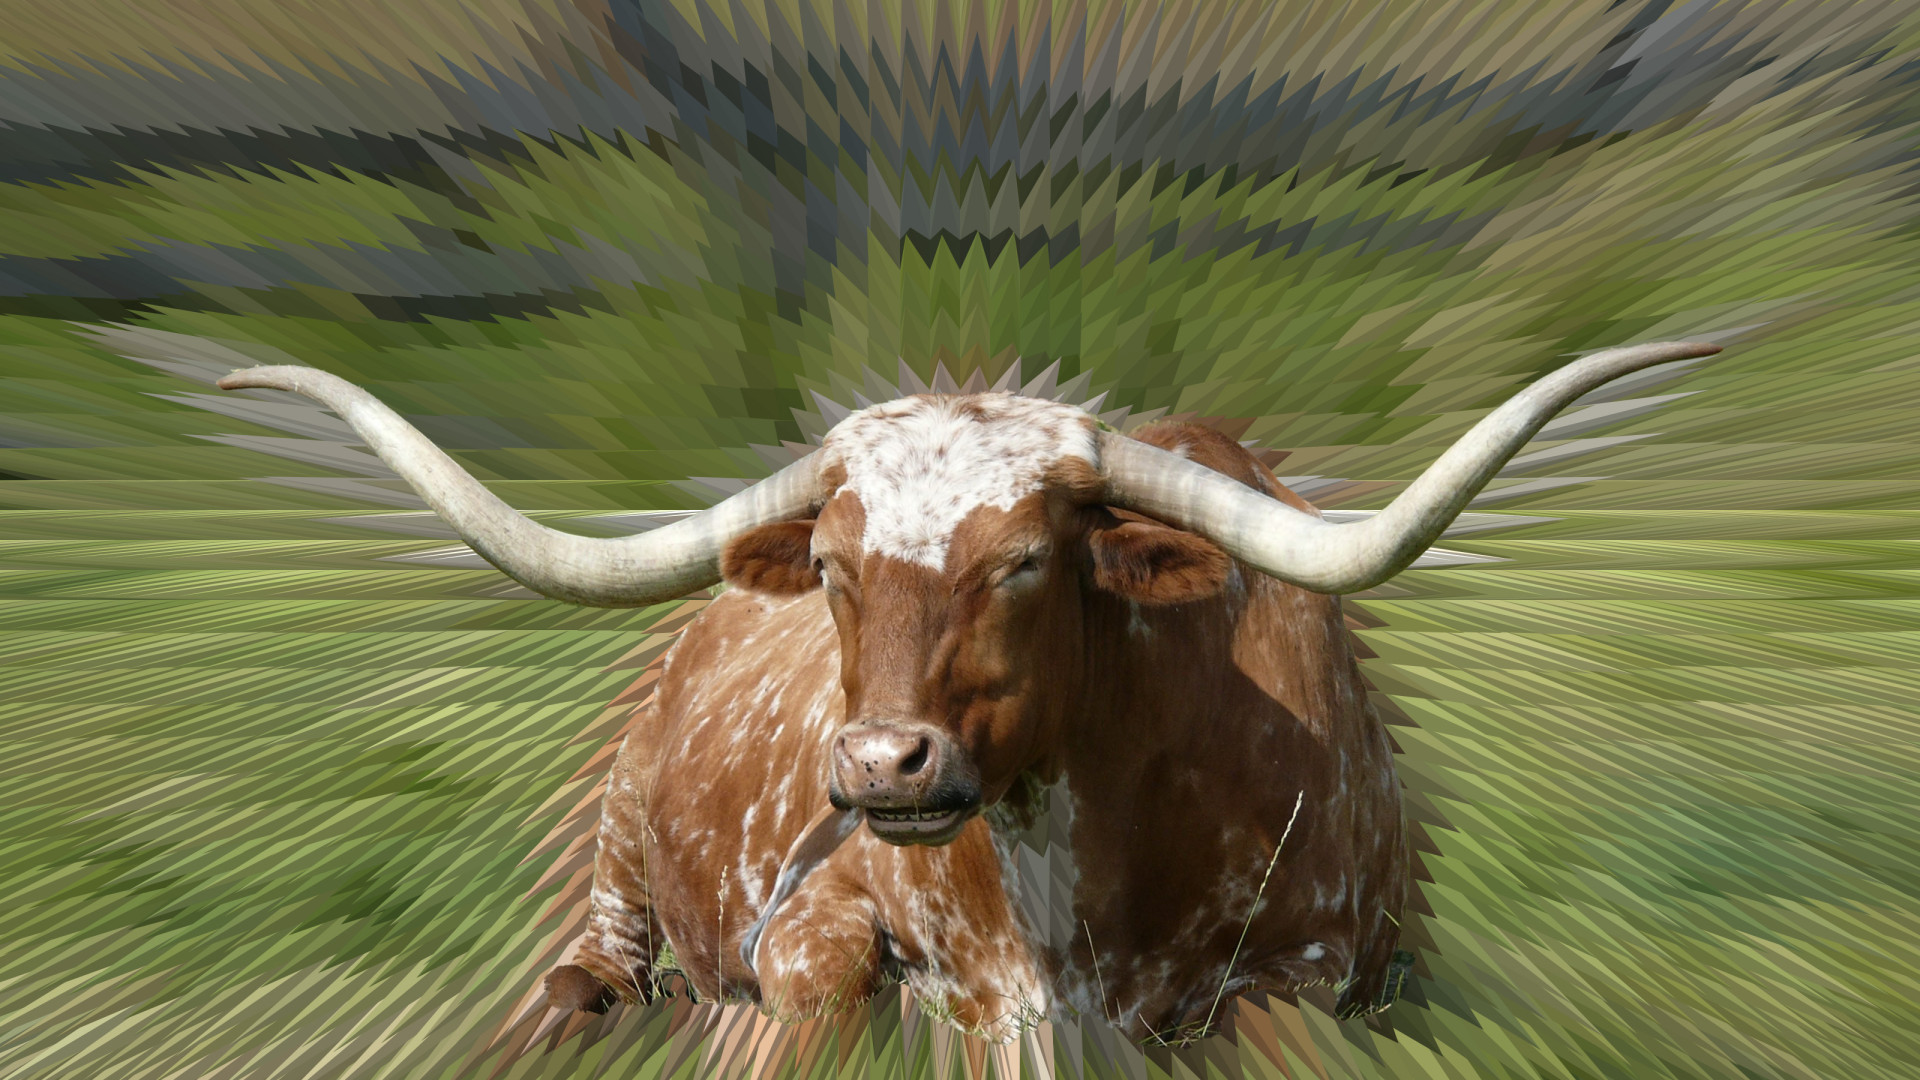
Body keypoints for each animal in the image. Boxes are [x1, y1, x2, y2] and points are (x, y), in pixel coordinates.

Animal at [216, 341, 1719, 1042]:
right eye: (832, 564)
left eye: (1026, 561)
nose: (881, 765)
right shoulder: (813, 924)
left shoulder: (1332, 968)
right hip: (621, 840)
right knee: (598, 952)